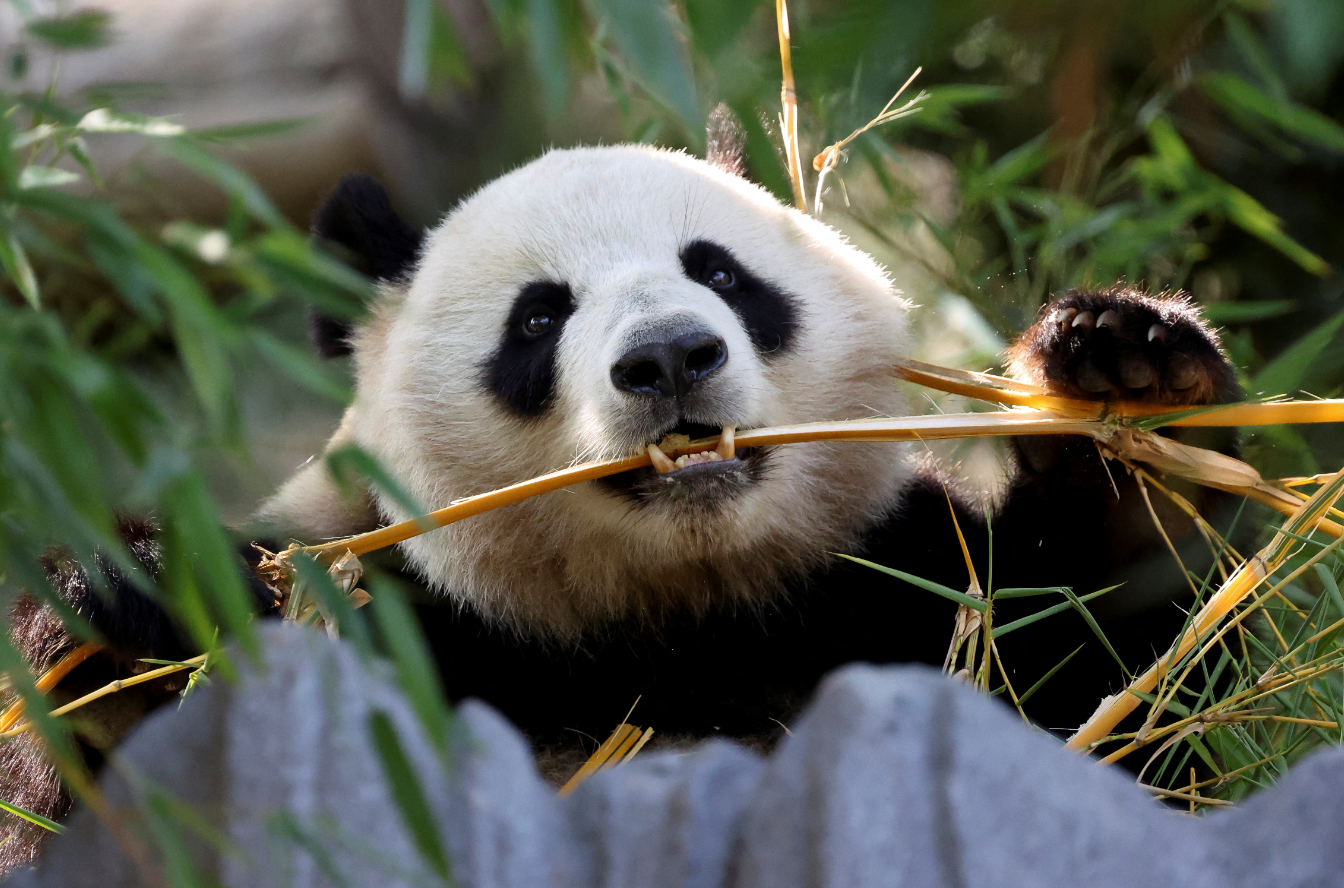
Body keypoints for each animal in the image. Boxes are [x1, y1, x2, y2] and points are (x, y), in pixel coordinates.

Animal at [1, 130, 1242, 871]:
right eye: (539, 316)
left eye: (722, 271)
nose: (670, 359)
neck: (668, 614)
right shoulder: (393, 595)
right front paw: (134, 609)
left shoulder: (892, 583)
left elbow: (1117, 701)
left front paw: (1132, 388)